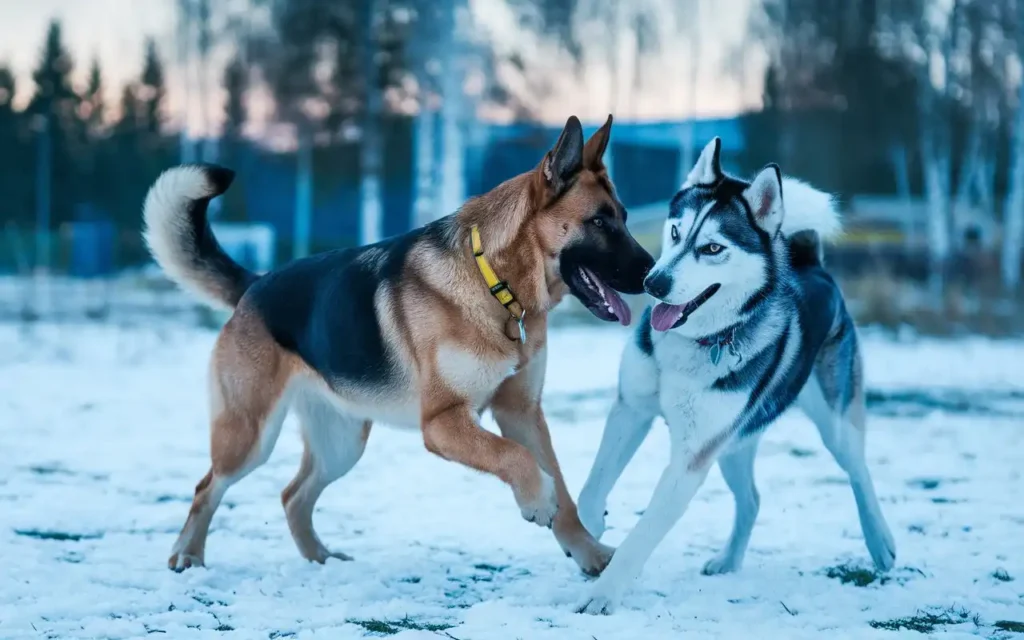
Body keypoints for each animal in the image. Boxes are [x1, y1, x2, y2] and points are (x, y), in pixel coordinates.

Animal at [142, 116, 655, 577]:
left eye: (625, 219)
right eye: (600, 222)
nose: (655, 275)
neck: (495, 281)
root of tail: (256, 285)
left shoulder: (521, 412)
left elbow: (562, 486)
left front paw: (590, 554)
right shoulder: (444, 422)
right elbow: (518, 460)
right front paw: (536, 502)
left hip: (342, 443)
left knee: (292, 495)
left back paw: (320, 560)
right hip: (249, 437)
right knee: (207, 488)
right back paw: (187, 556)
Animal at [577, 139, 897, 614]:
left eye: (712, 248)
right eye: (676, 232)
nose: (653, 283)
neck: (698, 341)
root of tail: (811, 262)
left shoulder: (692, 456)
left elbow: (643, 535)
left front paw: (602, 595)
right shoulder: (632, 409)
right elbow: (589, 492)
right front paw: (591, 533)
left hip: (834, 421)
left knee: (858, 469)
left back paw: (880, 542)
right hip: (734, 442)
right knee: (752, 499)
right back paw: (729, 560)